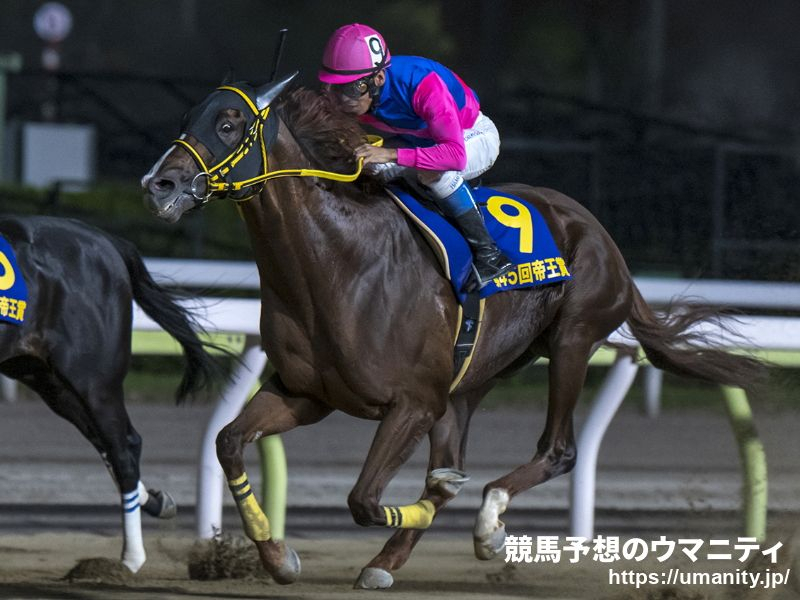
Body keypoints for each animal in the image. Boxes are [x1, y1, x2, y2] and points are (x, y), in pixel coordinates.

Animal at [141, 74, 764, 584]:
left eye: (228, 124)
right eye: (187, 119)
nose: (159, 184)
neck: (336, 265)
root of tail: (605, 240)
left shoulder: (412, 402)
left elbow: (363, 499)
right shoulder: (306, 393)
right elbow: (228, 442)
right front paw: (276, 556)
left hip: (573, 339)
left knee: (559, 449)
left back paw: (488, 524)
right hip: (469, 381)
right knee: (461, 450)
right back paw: (392, 558)